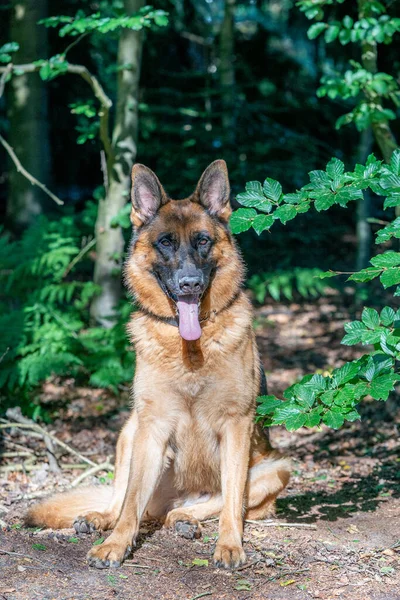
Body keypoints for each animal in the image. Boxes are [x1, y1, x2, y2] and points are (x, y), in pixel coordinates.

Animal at [28, 159, 290, 568]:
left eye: (202, 241)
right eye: (165, 242)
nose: (190, 284)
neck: (190, 349)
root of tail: (171, 500)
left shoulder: (237, 426)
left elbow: (233, 498)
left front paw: (230, 545)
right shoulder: (152, 427)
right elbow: (130, 503)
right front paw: (116, 544)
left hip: (277, 468)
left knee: (211, 504)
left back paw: (185, 518)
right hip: (130, 431)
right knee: (125, 501)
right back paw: (103, 518)